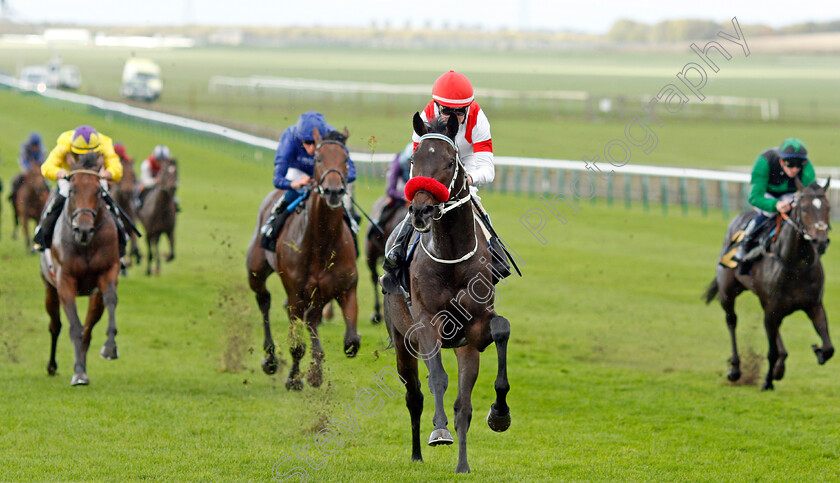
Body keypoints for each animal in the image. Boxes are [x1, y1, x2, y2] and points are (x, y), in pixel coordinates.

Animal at [39, 153, 120, 388]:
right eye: (73, 190)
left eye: (98, 192)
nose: (83, 230)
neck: (85, 245)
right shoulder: (65, 280)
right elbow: (73, 326)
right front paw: (77, 373)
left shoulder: (108, 272)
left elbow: (111, 301)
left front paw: (109, 348)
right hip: (50, 288)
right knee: (55, 325)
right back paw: (53, 366)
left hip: (93, 296)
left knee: (88, 330)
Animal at [244, 127, 360, 390]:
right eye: (318, 158)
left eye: (346, 159)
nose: (334, 191)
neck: (323, 242)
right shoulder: (295, 294)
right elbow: (296, 344)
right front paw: (294, 379)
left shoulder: (347, 287)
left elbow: (351, 341)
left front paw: (315, 372)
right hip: (256, 270)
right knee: (264, 299)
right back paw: (270, 359)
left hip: (318, 294)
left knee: (312, 318)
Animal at [382, 114, 512, 476]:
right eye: (414, 159)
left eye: (451, 162)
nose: (421, 211)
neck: (452, 257)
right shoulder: (426, 322)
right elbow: (437, 378)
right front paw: (439, 431)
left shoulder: (475, 331)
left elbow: (501, 329)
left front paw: (499, 414)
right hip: (401, 340)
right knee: (414, 395)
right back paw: (416, 454)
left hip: (462, 347)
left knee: (463, 406)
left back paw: (463, 465)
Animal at [704, 180, 832, 392]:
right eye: (805, 208)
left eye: (828, 207)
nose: (820, 241)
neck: (795, 265)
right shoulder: (772, 309)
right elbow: (771, 351)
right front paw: (767, 381)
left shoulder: (813, 305)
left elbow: (829, 347)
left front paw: (819, 350)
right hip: (727, 292)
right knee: (732, 321)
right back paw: (735, 369)